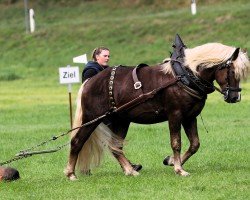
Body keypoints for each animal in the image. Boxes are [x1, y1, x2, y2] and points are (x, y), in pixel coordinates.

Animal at [64, 36, 248, 181]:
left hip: (121, 120)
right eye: (231, 71)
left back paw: (130, 170)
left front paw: (172, 161)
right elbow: (176, 143)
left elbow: (195, 144)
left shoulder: (190, 117)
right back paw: (71, 173)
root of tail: (90, 81)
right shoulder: (175, 115)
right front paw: (179, 169)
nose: (234, 97)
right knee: (77, 141)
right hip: (92, 118)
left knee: (115, 146)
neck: (185, 76)